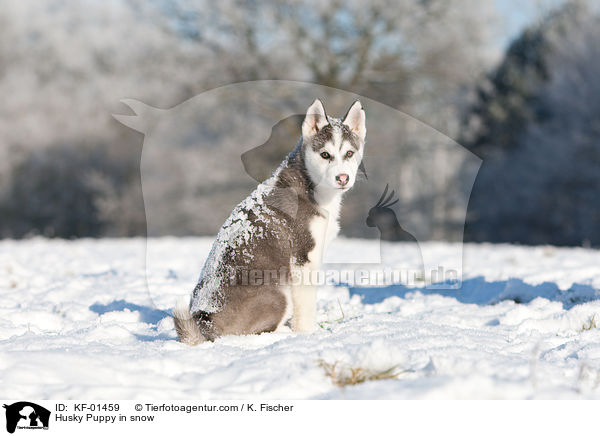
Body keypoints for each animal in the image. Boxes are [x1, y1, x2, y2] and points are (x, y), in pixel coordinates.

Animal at [173, 99, 366, 344]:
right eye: (325, 155)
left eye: (349, 153)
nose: (343, 178)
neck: (309, 184)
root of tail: (204, 322)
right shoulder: (303, 259)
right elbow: (306, 308)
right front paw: (308, 334)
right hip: (278, 294)